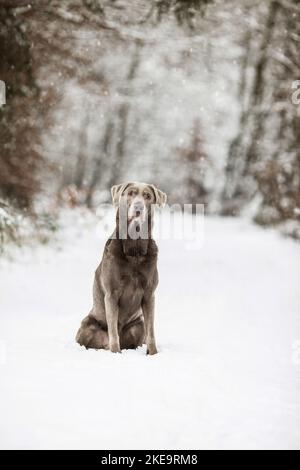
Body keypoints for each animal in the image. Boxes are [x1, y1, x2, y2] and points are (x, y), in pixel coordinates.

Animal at [75, 182, 166, 354]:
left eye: (147, 196)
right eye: (130, 193)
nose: (138, 207)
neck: (134, 250)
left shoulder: (149, 294)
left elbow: (151, 331)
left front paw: (153, 354)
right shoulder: (111, 294)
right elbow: (112, 329)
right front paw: (116, 354)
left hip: (138, 324)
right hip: (87, 325)